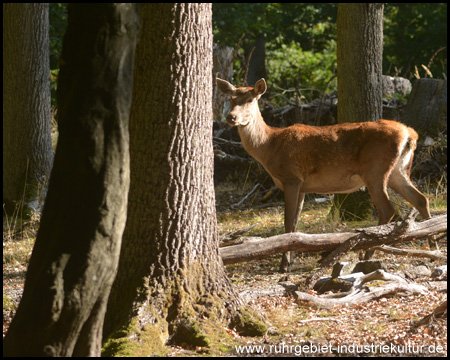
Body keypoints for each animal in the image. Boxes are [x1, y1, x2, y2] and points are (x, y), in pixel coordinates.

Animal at [218, 77, 432, 272]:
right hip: (398, 170)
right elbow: (294, 224)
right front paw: (290, 261)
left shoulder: (291, 178)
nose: (231, 117)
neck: (270, 146)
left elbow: (287, 223)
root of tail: (409, 134)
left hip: (375, 169)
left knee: (388, 209)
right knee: (421, 199)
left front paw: (283, 265)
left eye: (250, 99)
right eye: (230, 99)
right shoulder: (302, 186)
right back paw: (431, 242)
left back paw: (368, 255)